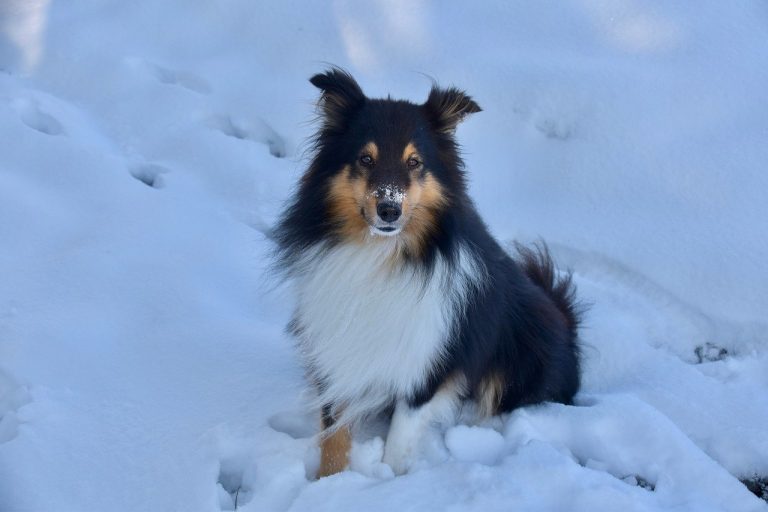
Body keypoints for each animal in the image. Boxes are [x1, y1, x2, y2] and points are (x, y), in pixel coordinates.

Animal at [272, 67, 580, 476]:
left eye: (414, 162)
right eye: (365, 159)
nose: (389, 210)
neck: (380, 256)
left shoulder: (428, 358)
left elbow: (400, 438)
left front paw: (392, 479)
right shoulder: (335, 347)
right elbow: (333, 433)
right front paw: (328, 483)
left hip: (526, 346)